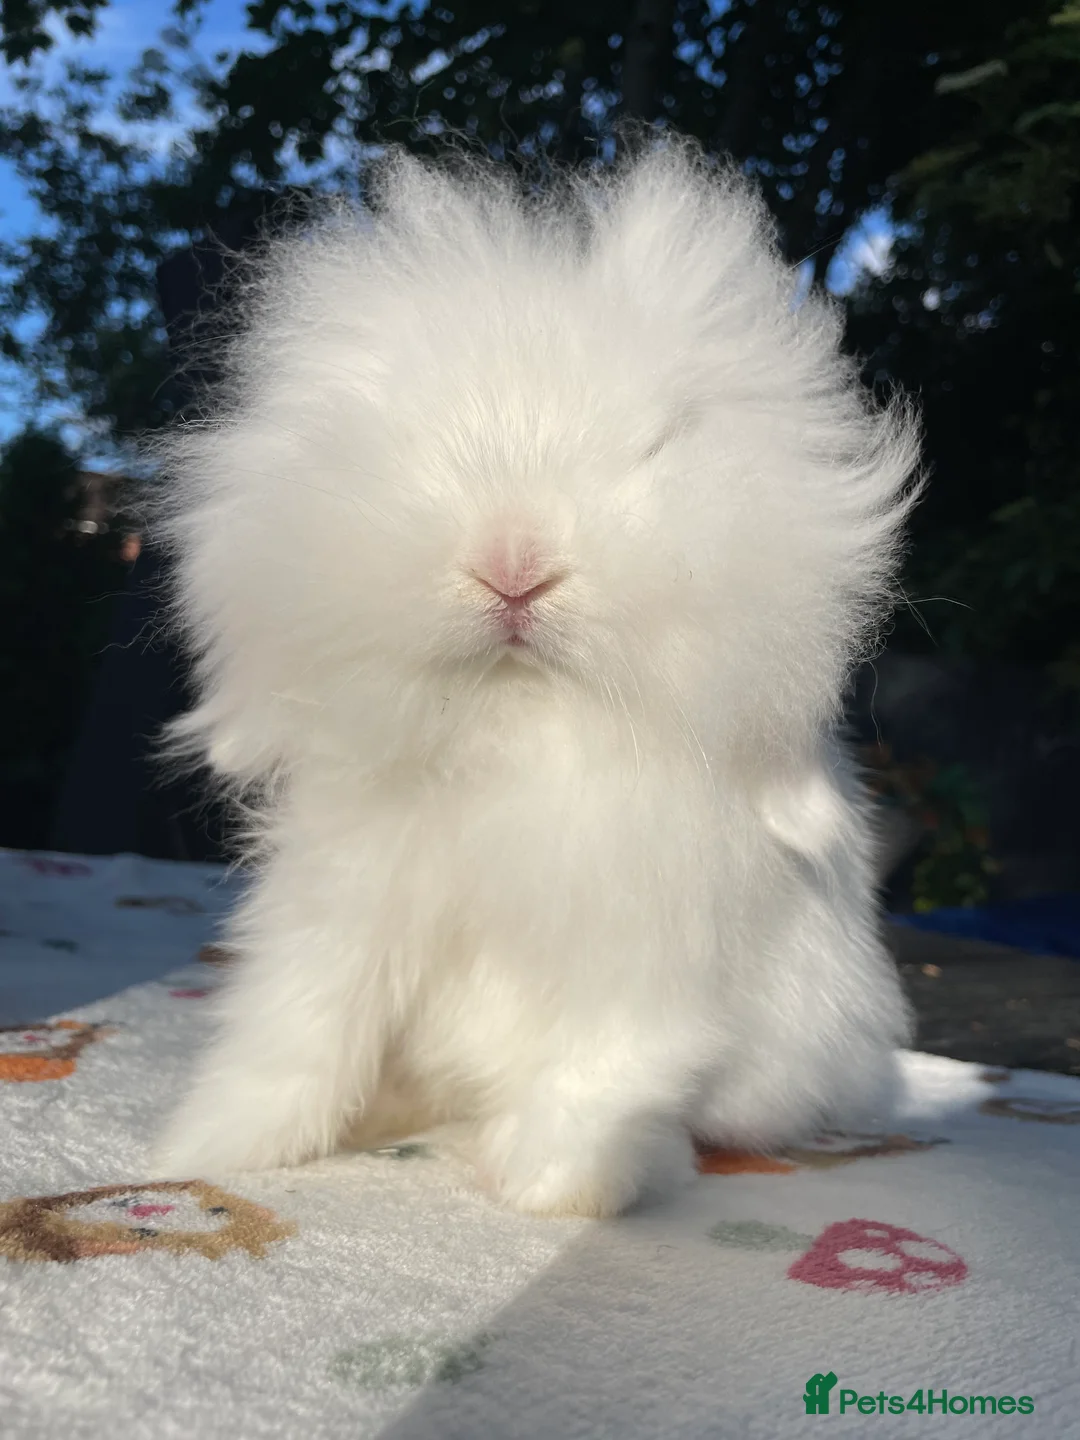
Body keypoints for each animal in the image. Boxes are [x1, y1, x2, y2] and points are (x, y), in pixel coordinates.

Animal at [151, 138, 920, 1217]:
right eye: (408, 438)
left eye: (656, 444)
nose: (512, 566)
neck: (513, 726)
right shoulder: (343, 910)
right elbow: (297, 1031)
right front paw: (203, 1149)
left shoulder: (637, 949)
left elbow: (602, 1068)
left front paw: (560, 1189)